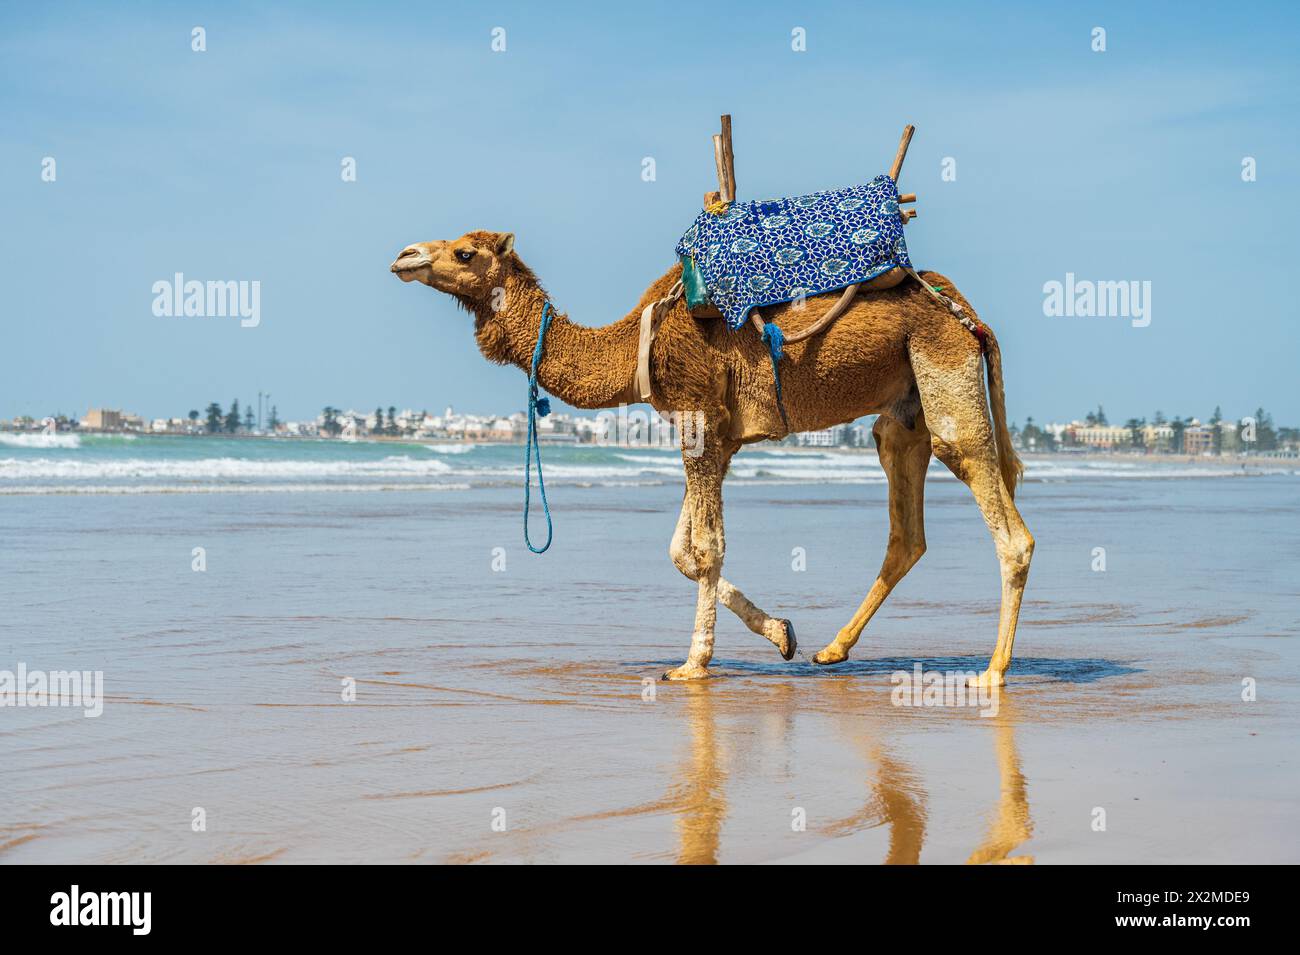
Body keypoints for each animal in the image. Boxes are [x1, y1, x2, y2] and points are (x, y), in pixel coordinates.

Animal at [390, 230, 1033, 685]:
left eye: (465, 252)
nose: (404, 255)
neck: (636, 343)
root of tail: (967, 315)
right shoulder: (715, 436)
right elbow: (683, 551)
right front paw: (782, 633)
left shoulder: (698, 411)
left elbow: (703, 548)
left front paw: (693, 664)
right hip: (905, 411)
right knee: (906, 530)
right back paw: (831, 649)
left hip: (942, 365)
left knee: (997, 509)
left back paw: (992, 673)